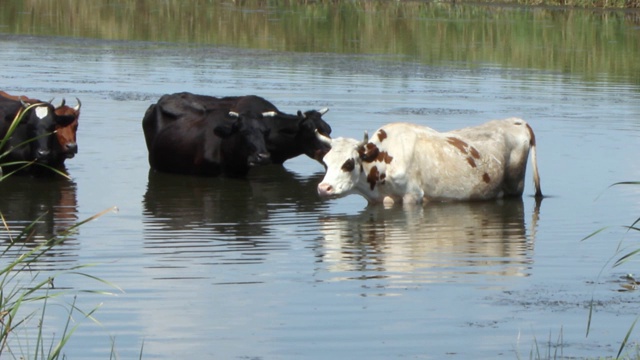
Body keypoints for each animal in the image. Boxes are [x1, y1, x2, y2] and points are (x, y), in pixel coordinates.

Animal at [318, 119, 544, 205]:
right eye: (326, 162)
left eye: (348, 163)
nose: (323, 188)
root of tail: (517, 121)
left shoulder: (412, 196)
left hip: (514, 188)